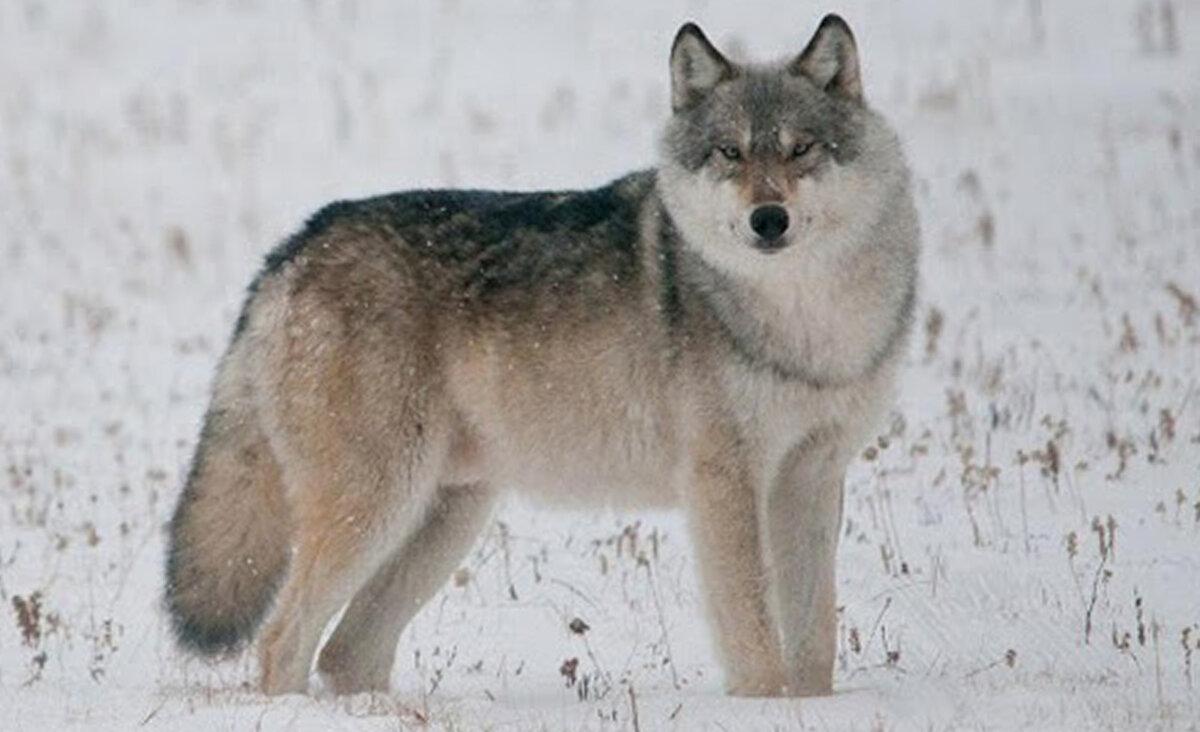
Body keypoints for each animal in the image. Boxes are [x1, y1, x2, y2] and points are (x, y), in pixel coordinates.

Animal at [164, 14, 916, 691]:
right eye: (729, 153)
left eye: (800, 149)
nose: (768, 220)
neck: (806, 320)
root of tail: (292, 248)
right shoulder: (723, 482)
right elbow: (756, 640)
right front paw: (766, 709)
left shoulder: (812, 475)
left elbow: (814, 639)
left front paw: (814, 709)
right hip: (378, 503)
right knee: (282, 643)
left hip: (447, 516)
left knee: (345, 654)